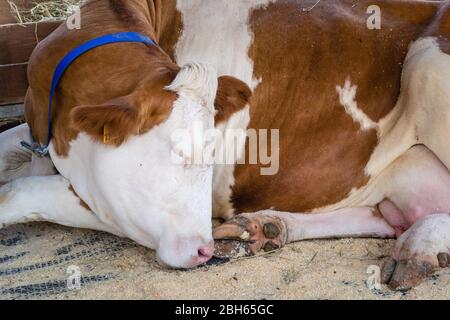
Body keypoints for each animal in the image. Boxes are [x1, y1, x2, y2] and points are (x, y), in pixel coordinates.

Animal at [0, 0, 450, 290]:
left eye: (210, 155)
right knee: (386, 218)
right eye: (181, 155)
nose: (204, 250)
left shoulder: (111, 201)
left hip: (428, 66)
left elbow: (19, 193)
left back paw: (420, 247)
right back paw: (266, 227)